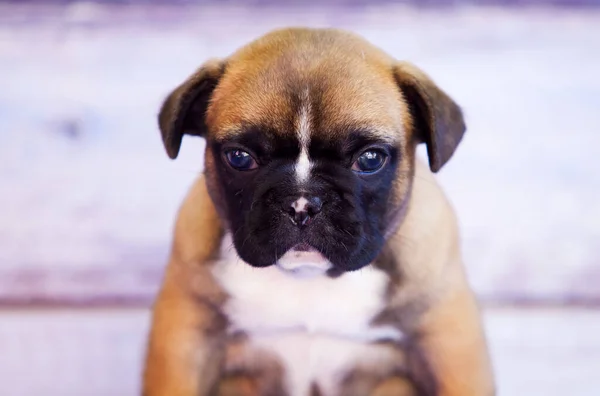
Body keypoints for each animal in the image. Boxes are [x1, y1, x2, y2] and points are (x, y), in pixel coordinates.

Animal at [143, 27, 494, 396]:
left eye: (370, 159)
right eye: (239, 157)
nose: (302, 204)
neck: (311, 278)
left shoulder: (448, 346)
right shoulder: (185, 342)